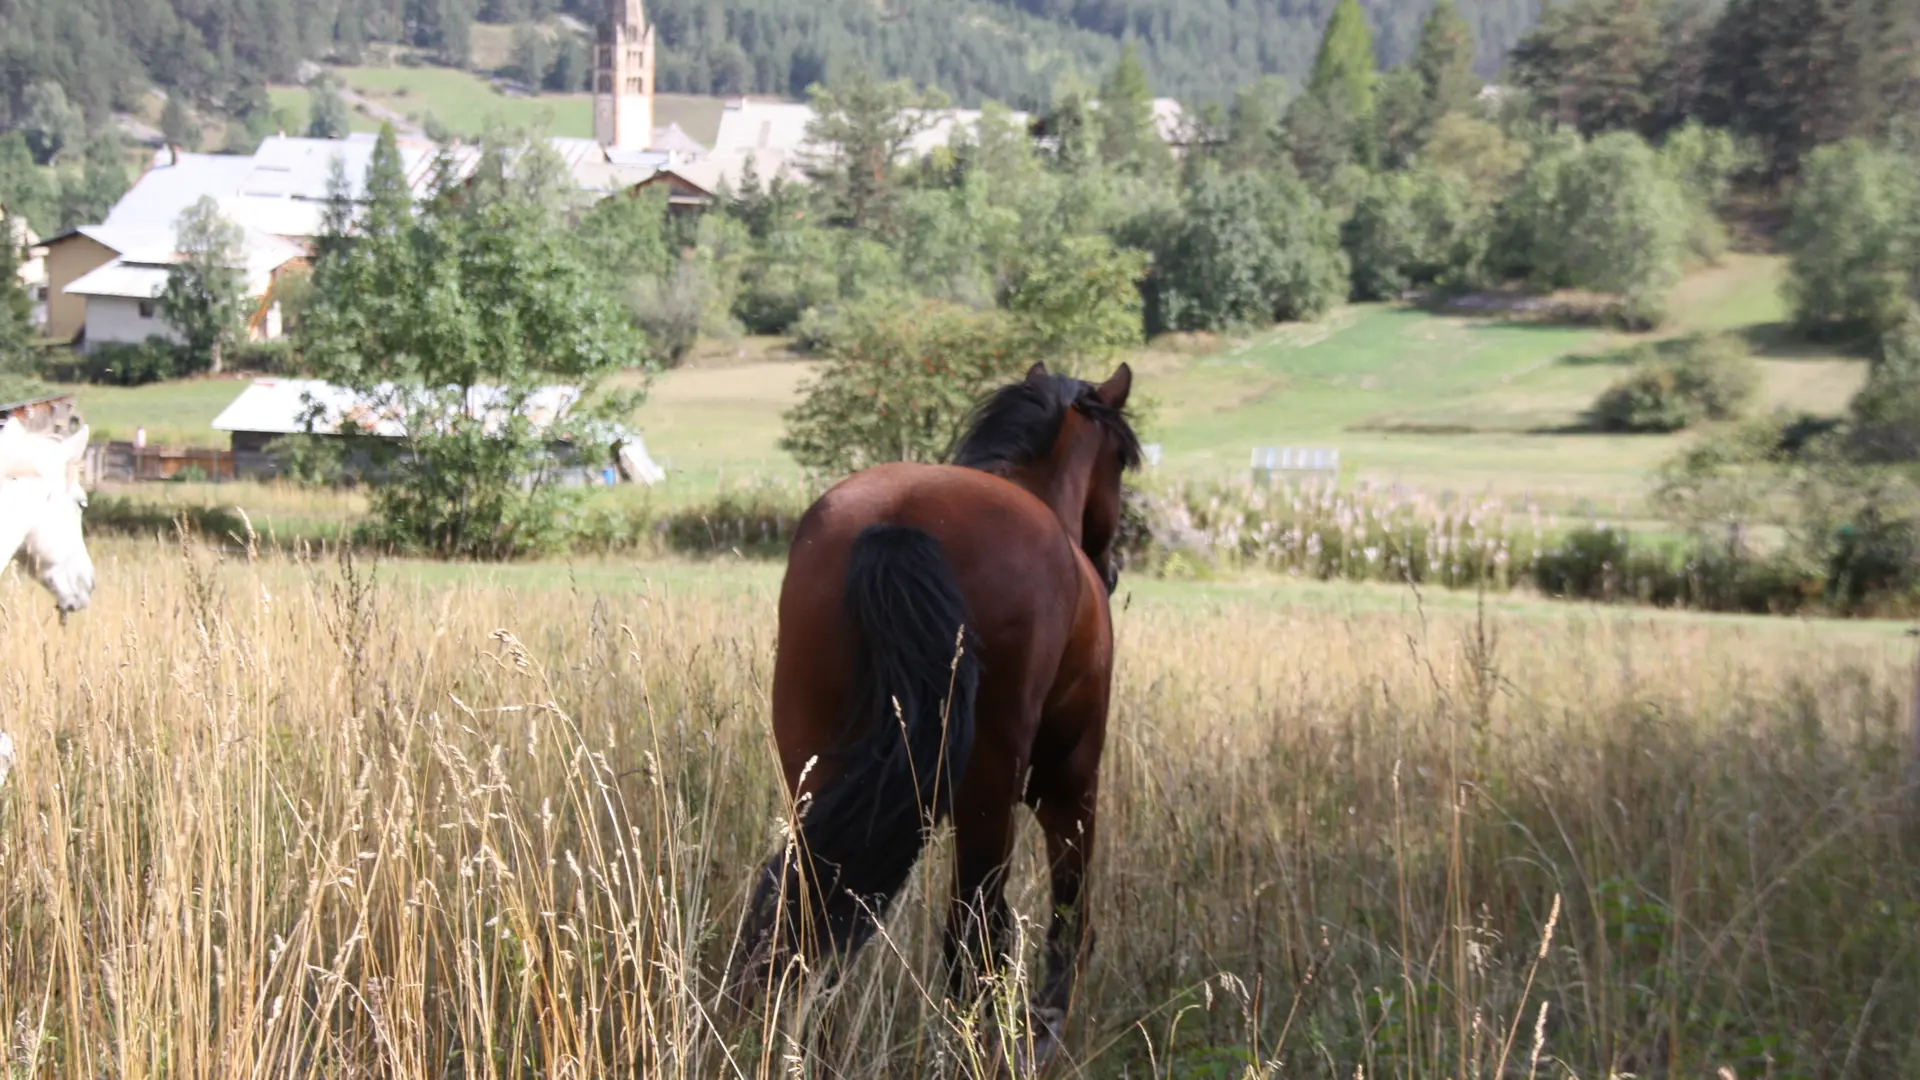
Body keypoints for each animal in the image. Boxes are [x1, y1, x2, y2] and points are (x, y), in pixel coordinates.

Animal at [728, 360, 1141, 1068]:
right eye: (1120, 459)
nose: (1109, 568)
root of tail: (901, 521)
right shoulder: (1070, 776)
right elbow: (1071, 916)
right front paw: (1044, 1027)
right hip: (989, 796)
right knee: (974, 943)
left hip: (820, 777)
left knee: (812, 931)